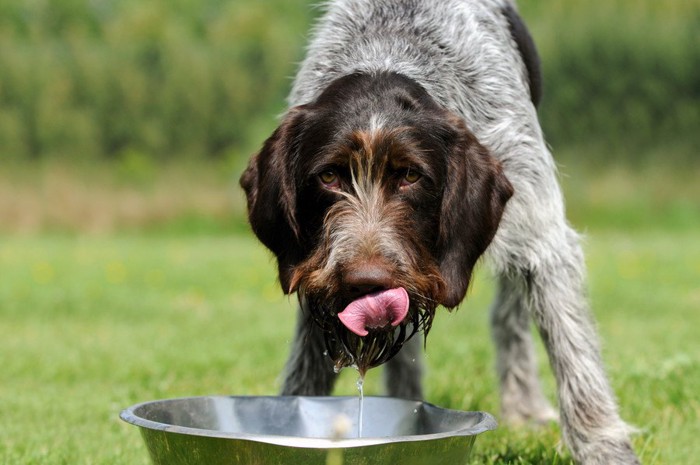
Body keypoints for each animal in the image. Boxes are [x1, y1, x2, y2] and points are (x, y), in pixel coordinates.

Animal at [241, 1, 640, 462]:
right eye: (328, 176)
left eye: (411, 176)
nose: (366, 283)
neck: (387, 49)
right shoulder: (318, 274)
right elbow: (309, 367)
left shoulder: (541, 234)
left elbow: (575, 359)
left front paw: (605, 449)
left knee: (509, 318)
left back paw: (523, 406)